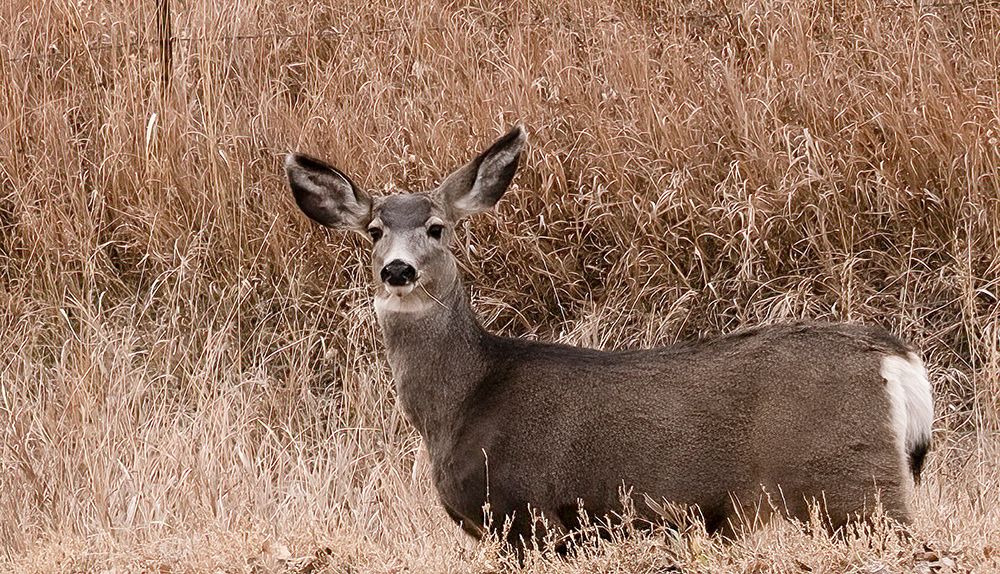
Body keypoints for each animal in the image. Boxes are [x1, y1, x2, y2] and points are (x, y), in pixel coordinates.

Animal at [284, 125, 934, 553]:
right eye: (374, 230)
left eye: (437, 228)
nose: (398, 270)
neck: (462, 404)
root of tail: (895, 358)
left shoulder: (525, 514)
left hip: (853, 482)